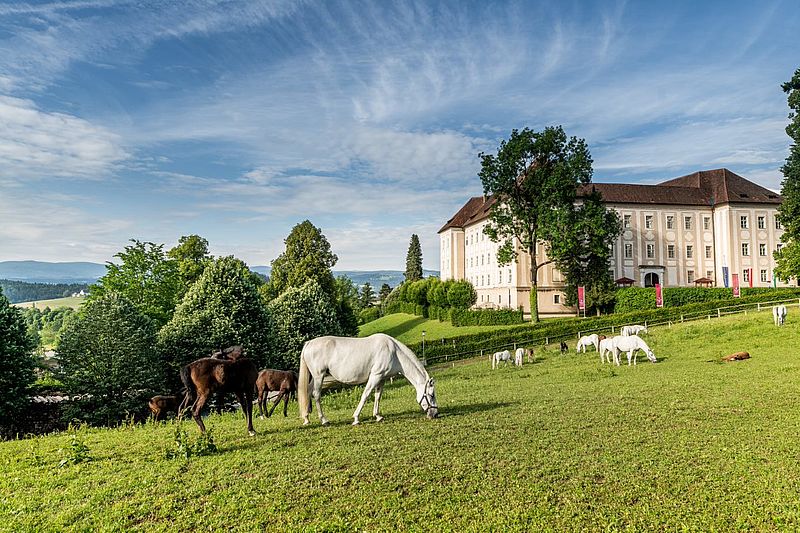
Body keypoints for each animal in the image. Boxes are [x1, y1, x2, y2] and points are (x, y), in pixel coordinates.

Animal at [298, 333, 439, 426]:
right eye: (431, 395)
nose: (435, 414)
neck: (394, 352)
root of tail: (309, 343)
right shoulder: (375, 376)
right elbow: (365, 395)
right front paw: (356, 419)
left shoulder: (382, 378)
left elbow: (377, 396)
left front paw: (378, 416)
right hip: (319, 377)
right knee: (316, 395)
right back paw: (324, 420)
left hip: (315, 378)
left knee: (308, 392)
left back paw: (306, 419)